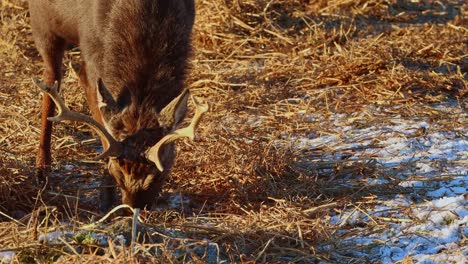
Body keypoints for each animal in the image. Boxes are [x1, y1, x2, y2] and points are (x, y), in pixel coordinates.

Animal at [27, 0, 207, 210]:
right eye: (119, 173)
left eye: (160, 174)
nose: (133, 207)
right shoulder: (92, 51)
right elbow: (103, 126)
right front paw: (106, 200)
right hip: (43, 25)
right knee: (51, 78)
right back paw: (41, 170)